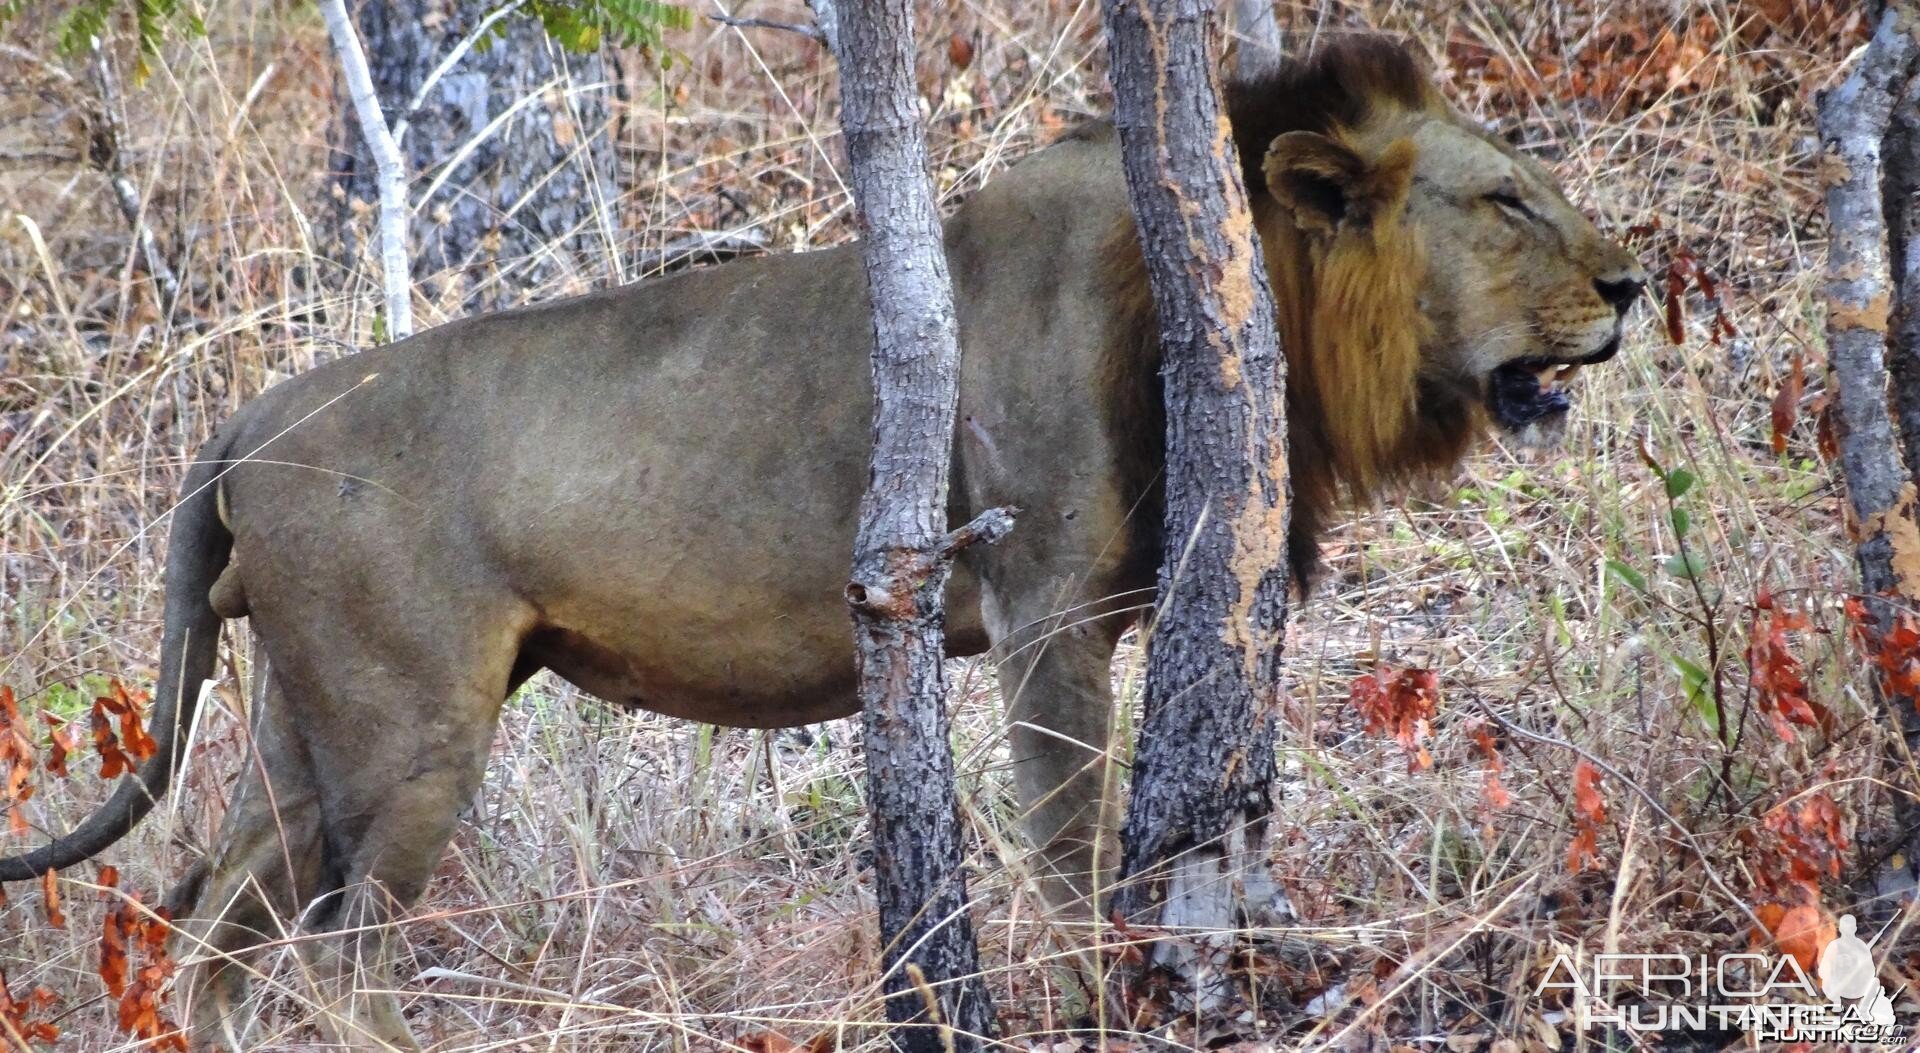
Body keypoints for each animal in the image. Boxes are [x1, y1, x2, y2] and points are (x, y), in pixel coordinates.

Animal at [7, 32, 1643, 1045]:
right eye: (1507, 201)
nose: (1635, 286)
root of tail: (245, 418)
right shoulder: (1047, 614)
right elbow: (1068, 848)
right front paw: (1088, 1004)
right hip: (411, 728)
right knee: (330, 965)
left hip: (305, 728)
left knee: (206, 935)